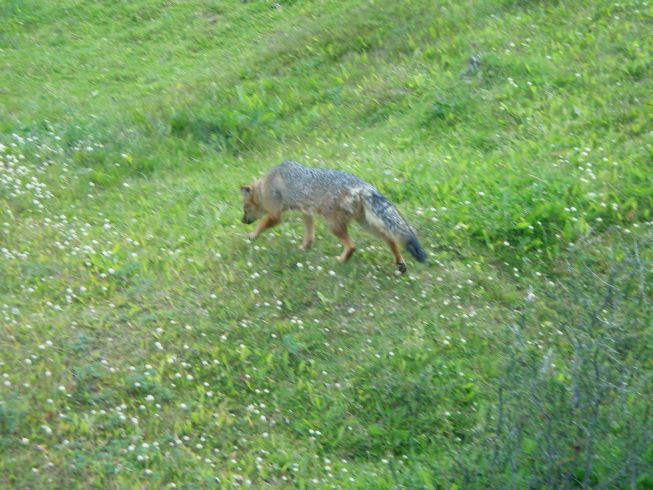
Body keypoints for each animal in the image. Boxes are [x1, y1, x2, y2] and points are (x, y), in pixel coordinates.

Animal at [240, 161, 427, 273]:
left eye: (245, 209)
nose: (242, 221)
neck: (265, 184)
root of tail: (363, 186)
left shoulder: (275, 215)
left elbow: (261, 225)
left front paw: (252, 235)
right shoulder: (307, 213)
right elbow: (309, 234)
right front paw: (304, 247)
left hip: (334, 226)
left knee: (352, 246)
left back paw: (341, 260)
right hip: (366, 224)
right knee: (391, 239)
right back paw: (399, 263)